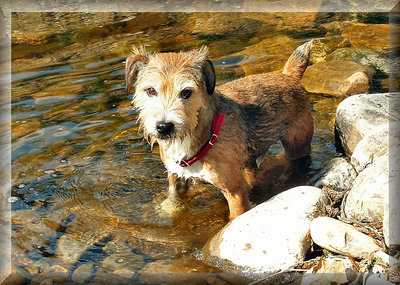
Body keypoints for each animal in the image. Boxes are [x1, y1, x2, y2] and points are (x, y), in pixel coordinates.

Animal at [126, 40, 314, 220]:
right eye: (150, 90)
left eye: (186, 92)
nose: (164, 126)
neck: (201, 133)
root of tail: (289, 75)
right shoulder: (175, 177)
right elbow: (174, 198)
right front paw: (168, 211)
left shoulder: (235, 193)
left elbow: (236, 217)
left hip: (298, 144)